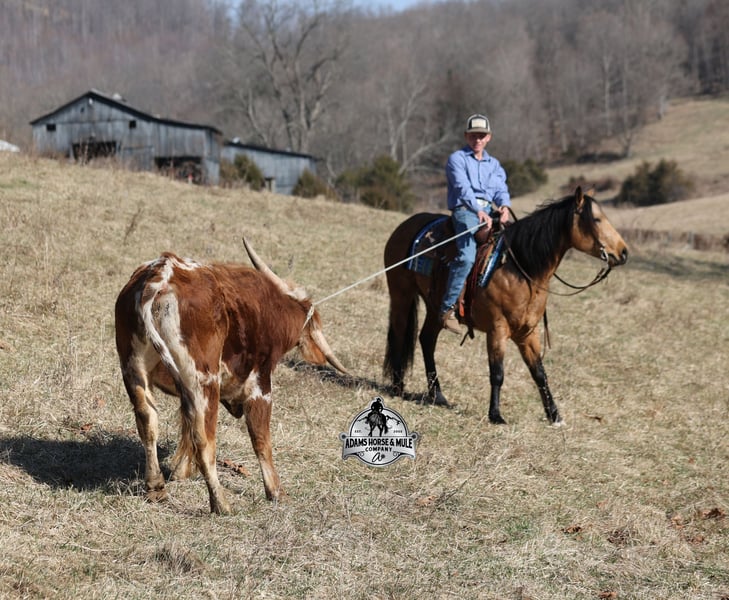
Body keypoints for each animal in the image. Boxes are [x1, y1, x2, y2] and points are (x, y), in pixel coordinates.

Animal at [114, 239, 348, 514]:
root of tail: (159, 276)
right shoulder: (260, 387)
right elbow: (261, 440)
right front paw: (276, 492)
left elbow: (183, 427)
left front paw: (181, 472)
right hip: (203, 381)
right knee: (204, 439)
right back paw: (221, 503)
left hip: (134, 370)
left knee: (148, 423)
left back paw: (156, 488)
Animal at [382, 187, 628, 425]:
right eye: (596, 219)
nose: (624, 252)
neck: (520, 269)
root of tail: (404, 226)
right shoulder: (497, 330)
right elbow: (498, 373)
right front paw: (496, 415)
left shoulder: (527, 333)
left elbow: (539, 373)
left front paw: (554, 415)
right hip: (401, 295)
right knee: (400, 333)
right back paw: (397, 387)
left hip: (435, 308)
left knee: (426, 339)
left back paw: (438, 395)